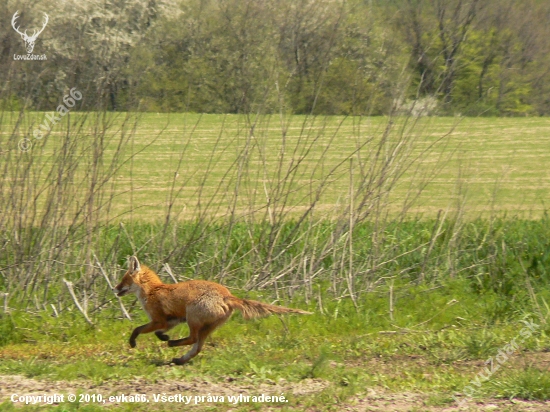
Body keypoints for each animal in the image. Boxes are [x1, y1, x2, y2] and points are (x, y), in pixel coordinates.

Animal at [114, 256, 312, 366]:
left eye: (124, 280)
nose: (114, 289)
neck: (153, 291)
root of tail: (227, 295)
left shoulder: (159, 320)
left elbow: (137, 329)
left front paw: (133, 342)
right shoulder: (172, 320)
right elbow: (157, 332)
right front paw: (163, 337)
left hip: (192, 318)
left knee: (193, 339)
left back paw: (173, 345)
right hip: (207, 326)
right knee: (197, 347)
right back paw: (179, 358)